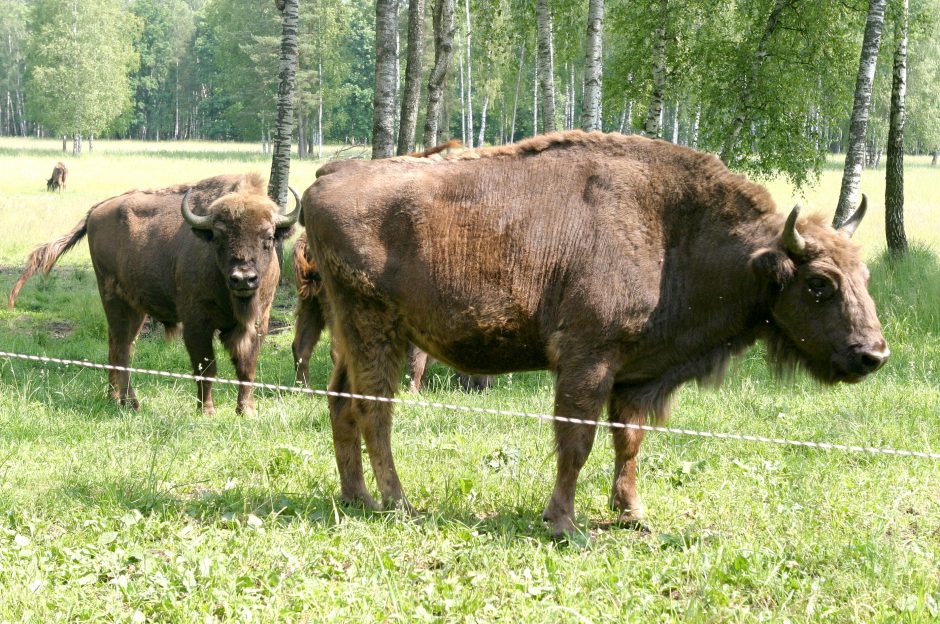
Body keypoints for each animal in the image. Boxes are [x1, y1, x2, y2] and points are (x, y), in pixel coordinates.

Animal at [7, 174, 300, 414]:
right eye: (218, 237)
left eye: (268, 237)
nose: (243, 278)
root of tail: (97, 210)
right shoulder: (196, 323)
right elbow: (206, 367)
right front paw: (206, 411)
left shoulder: (257, 323)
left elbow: (246, 367)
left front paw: (246, 411)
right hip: (115, 300)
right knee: (122, 349)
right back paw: (131, 403)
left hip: (134, 309)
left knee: (118, 346)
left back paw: (114, 398)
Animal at [302, 130, 888, 536]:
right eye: (818, 283)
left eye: (863, 275)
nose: (873, 354)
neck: (676, 235)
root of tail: (324, 179)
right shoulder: (589, 359)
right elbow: (577, 440)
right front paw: (563, 522)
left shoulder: (634, 375)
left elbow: (628, 441)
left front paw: (632, 513)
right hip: (377, 328)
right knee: (374, 408)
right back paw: (398, 503)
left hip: (349, 332)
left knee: (340, 401)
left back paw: (356, 498)